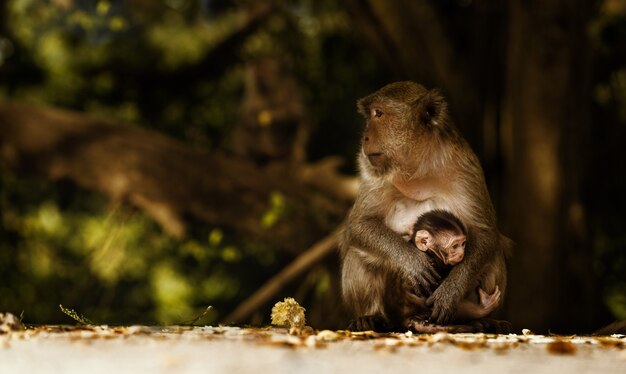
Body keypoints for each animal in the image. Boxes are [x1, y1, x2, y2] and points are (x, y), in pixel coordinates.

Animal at [338, 81, 510, 330]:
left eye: (378, 113)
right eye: (371, 114)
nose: (365, 139)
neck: (419, 168)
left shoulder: (466, 166)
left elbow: (484, 232)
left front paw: (450, 292)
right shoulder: (371, 171)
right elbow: (360, 225)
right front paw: (411, 260)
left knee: (493, 256)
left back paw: (481, 319)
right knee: (359, 254)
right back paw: (371, 316)